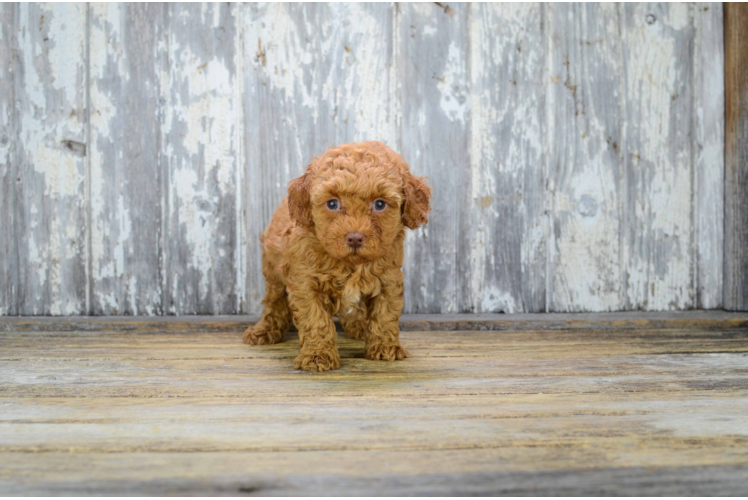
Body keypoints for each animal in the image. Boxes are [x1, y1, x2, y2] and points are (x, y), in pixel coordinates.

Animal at [244, 141, 432, 372]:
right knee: (274, 303)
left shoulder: (389, 279)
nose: (355, 238)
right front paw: (317, 356)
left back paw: (358, 326)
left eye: (380, 204)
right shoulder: (305, 284)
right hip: (273, 272)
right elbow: (316, 320)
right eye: (332, 204)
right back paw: (263, 331)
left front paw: (385, 347)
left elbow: (385, 314)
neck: (350, 264)